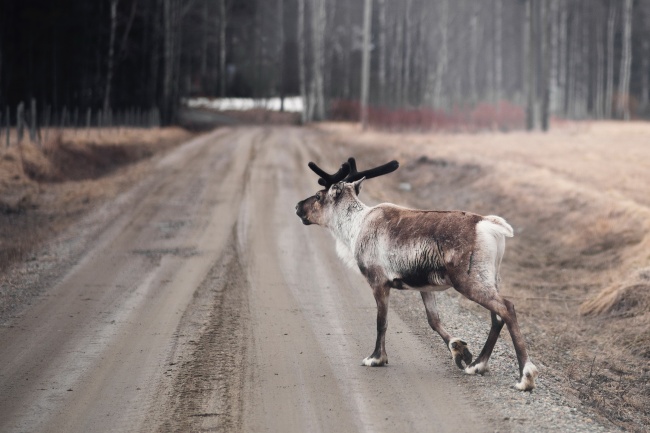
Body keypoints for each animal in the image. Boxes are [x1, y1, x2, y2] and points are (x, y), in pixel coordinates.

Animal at [295, 157, 538, 391]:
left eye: (318, 196)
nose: (297, 206)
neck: (354, 227)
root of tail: (489, 225)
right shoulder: (425, 286)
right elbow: (433, 320)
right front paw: (459, 350)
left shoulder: (378, 281)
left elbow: (381, 321)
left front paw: (376, 358)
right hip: (490, 278)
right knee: (497, 318)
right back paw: (477, 365)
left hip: (468, 280)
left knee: (507, 308)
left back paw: (525, 377)